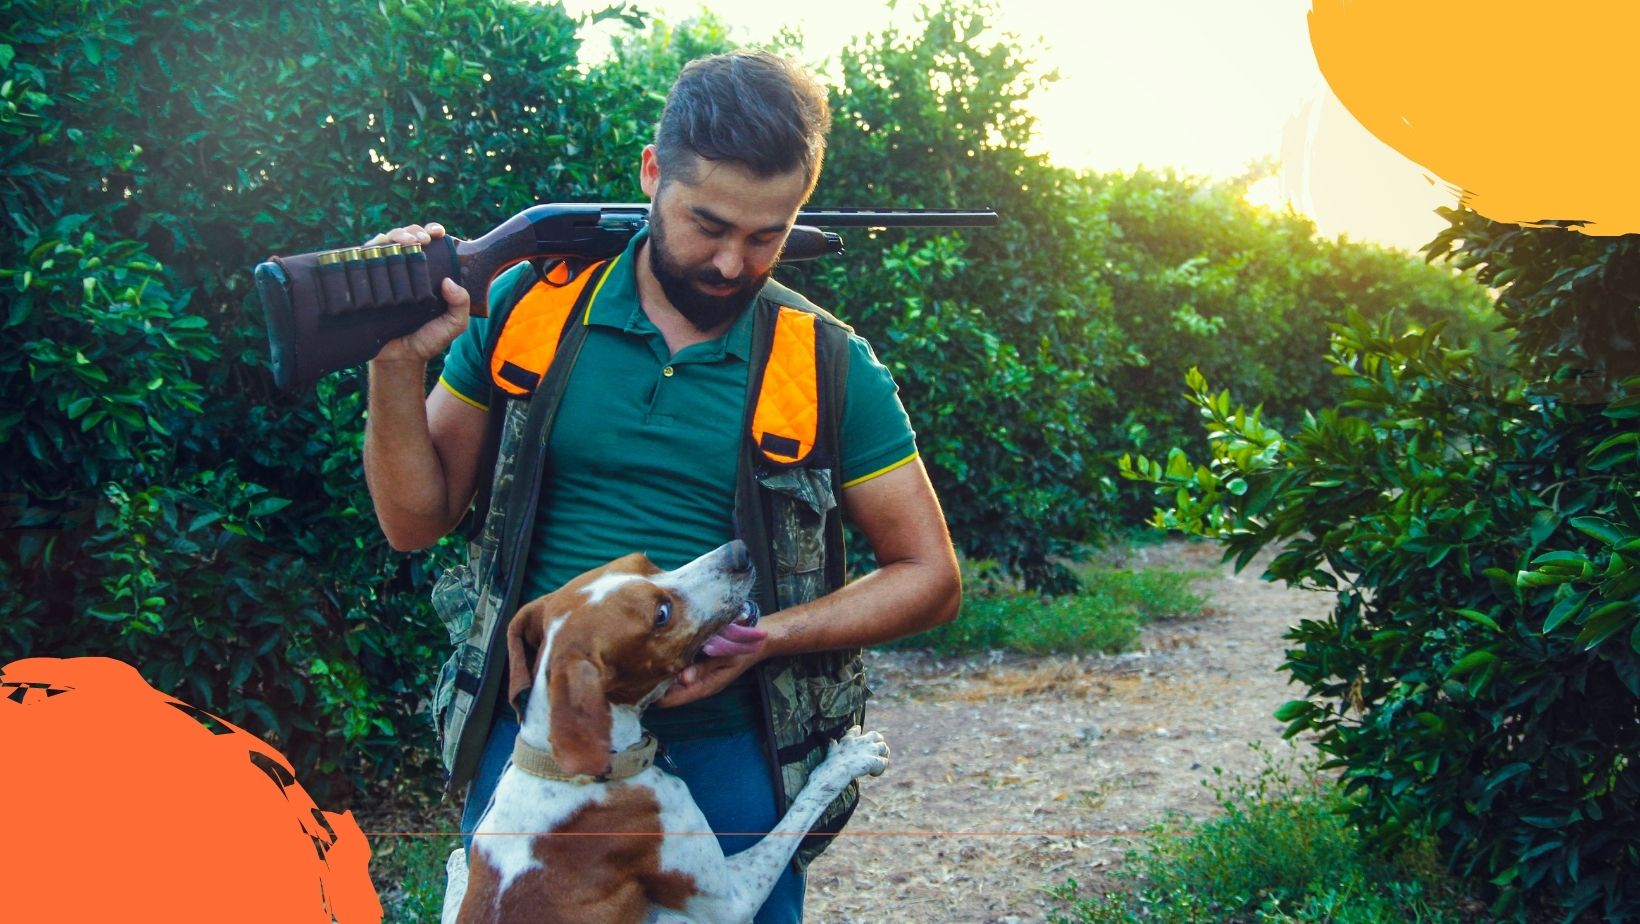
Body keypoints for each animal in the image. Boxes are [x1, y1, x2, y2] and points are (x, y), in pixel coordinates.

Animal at [442, 541, 892, 924]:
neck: (562, 768)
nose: (739, 551)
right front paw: (849, 758)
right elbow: (801, 808)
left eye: (646, 563)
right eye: (661, 614)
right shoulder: (730, 899)